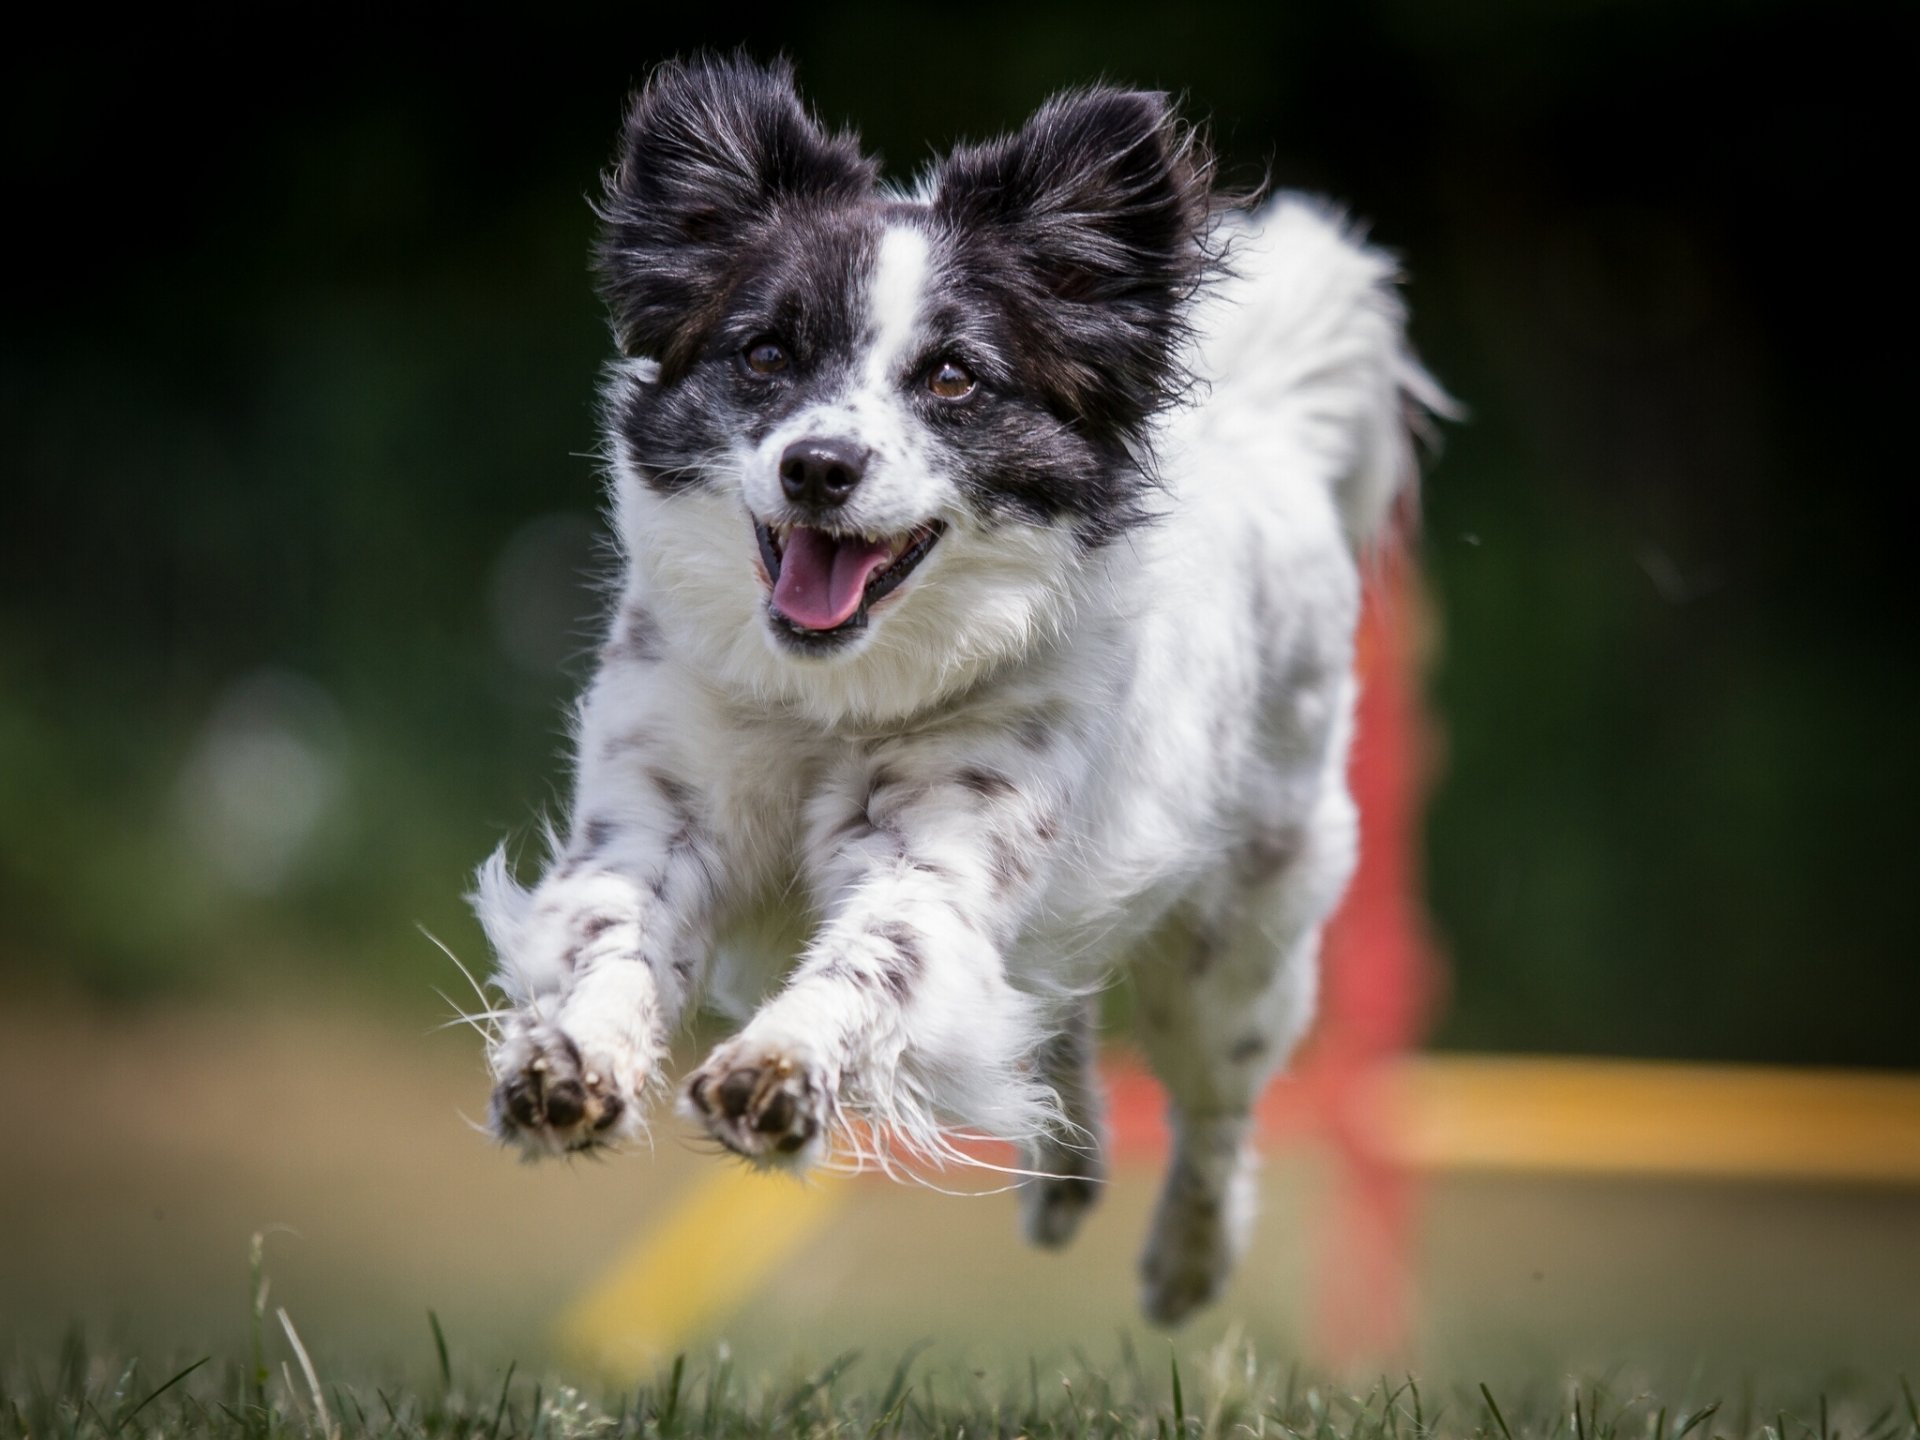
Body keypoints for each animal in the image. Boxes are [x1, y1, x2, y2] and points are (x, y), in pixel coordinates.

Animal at [472, 53, 1443, 1328]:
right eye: (765, 355)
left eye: (951, 379)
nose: (818, 465)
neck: (834, 695)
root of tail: (1267, 424)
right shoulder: (656, 817)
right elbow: (611, 934)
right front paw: (569, 1063)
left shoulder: (940, 859)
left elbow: (877, 958)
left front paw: (778, 1072)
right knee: (1055, 1011)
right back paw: (1068, 1177)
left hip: (1239, 936)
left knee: (1214, 1102)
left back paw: (1187, 1262)